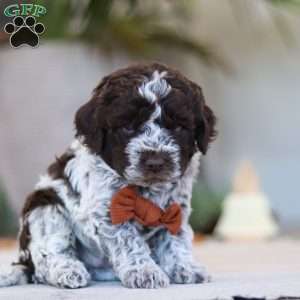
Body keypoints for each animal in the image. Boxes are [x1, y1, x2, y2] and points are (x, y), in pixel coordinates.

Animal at [0, 62, 216, 288]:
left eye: (178, 127)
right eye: (128, 127)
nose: (155, 162)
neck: (147, 189)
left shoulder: (175, 210)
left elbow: (175, 239)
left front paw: (186, 267)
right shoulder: (109, 210)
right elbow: (129, 241)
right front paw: (144, 271)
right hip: (45, 208)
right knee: (49, 257)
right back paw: (68, 270)